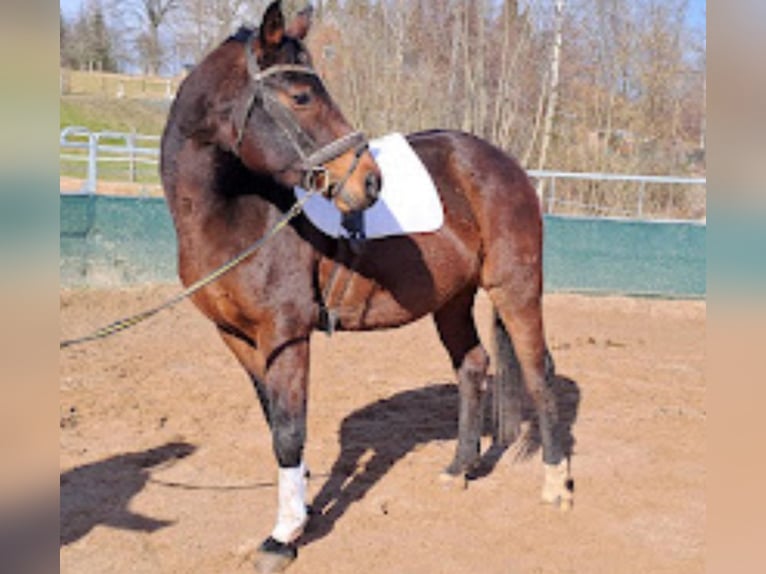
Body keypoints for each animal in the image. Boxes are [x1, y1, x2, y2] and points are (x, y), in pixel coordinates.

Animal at [160, 2, 576, 572]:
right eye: (301, 96)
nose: (370, 182)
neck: (234, 214)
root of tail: (503, 162)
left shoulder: (287, 334)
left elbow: (290, 431)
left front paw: (282, 537)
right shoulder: (237, 337)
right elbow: (274, 422)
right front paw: (300, 511)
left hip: (516, 287)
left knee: (538, 372)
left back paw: (556, 484)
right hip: (452, 299)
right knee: (473, 366)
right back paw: (459, 469)